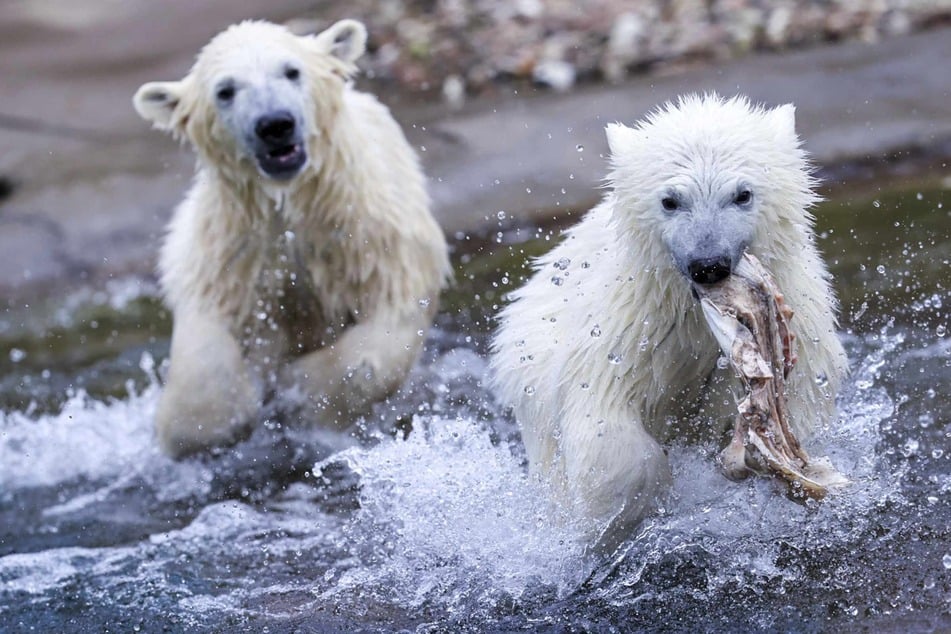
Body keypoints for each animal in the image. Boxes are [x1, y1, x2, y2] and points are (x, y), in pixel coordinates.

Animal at [131, 18, 454, 454]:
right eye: (225, 90)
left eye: (291, 71)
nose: (274, 125)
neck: (290, 203)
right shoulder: (231, 251)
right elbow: (206, 342)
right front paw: (206, 424)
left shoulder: (372, 236)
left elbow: (384, 332)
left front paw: (308, 391)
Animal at [490, 94, 848, 548]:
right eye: (670, 200)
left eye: (743, 194)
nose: (708, 264)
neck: (692, 310)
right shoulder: (629, 327)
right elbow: (605, 421)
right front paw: (611, 521)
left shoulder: (801, 320)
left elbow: (799, 401)